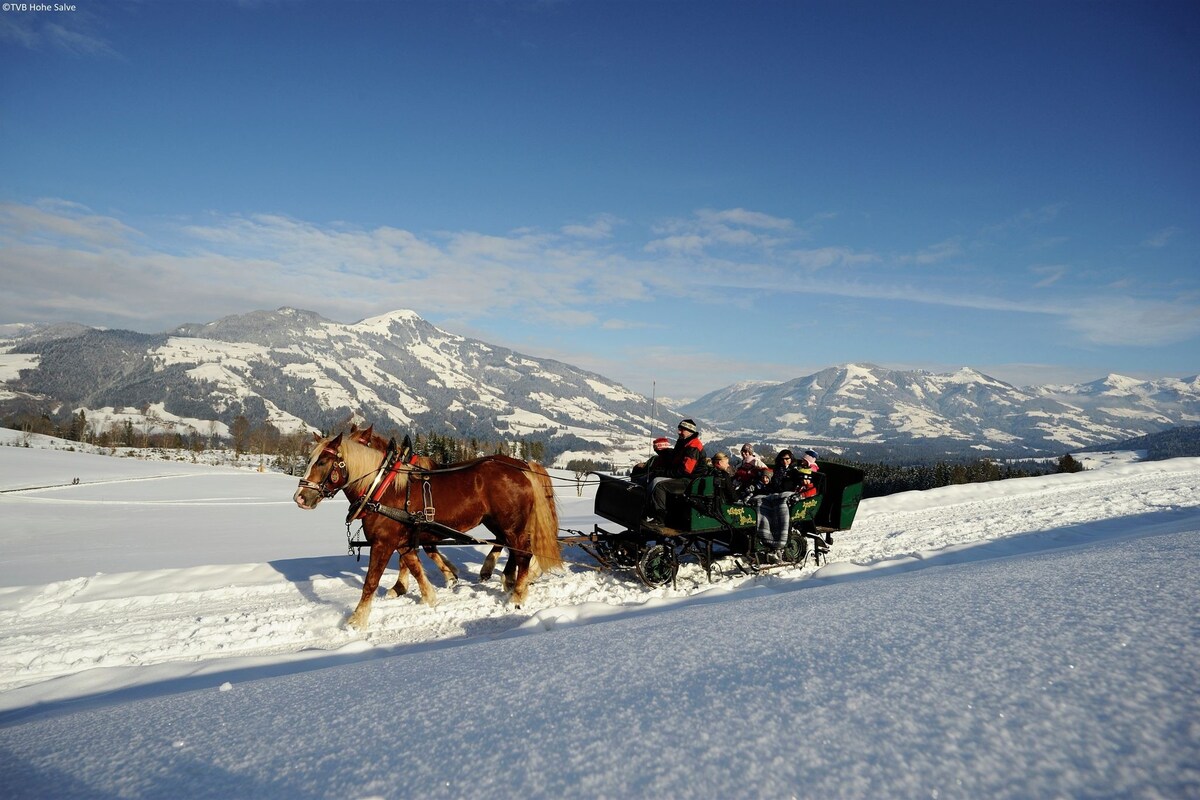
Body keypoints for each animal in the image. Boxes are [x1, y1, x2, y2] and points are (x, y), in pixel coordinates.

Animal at [297, 431, 564, 633]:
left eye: (322, 462)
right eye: (310, 459)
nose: (300, 497)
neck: (383, 487)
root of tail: (522, 467)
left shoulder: (383, 542)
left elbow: (371, 581)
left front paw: (357, 620)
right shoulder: (404, 541)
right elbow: (415, 566)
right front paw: (430, 595)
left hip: (511, 523)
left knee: (523, 553)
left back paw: (517, 595)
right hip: (499, 523)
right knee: (512, 548)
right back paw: (506, 579)